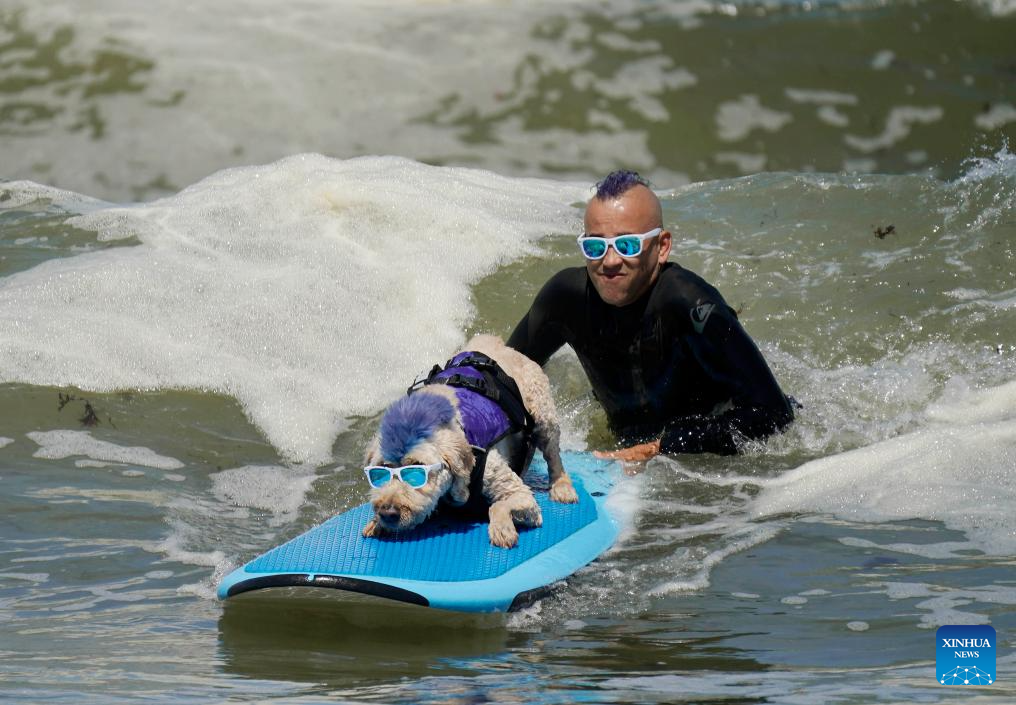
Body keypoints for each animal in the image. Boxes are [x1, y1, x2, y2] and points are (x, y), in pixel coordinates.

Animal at [361, 333, 577, 548]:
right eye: (381, 470)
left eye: (416, 469)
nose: (387, 513)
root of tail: (501, 345)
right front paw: (375, 522)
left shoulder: (518, 492)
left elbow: (499, 505)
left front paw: (502, 528)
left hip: (542, 411)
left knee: (553, 453)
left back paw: (562, 487)